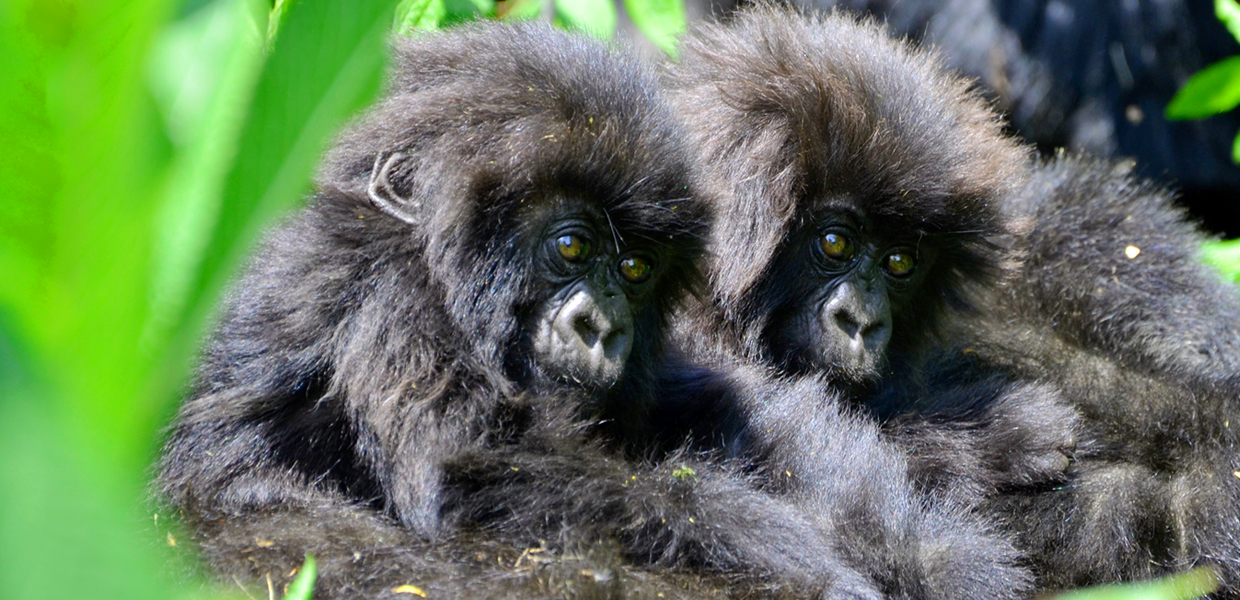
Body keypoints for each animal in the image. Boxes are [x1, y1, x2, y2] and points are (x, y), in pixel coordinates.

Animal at [155, 21, 877, 600]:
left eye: (636, 270)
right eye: (571, 246)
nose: (602, 328)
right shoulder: (399, 294)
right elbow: (465, 472)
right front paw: (790, 551)